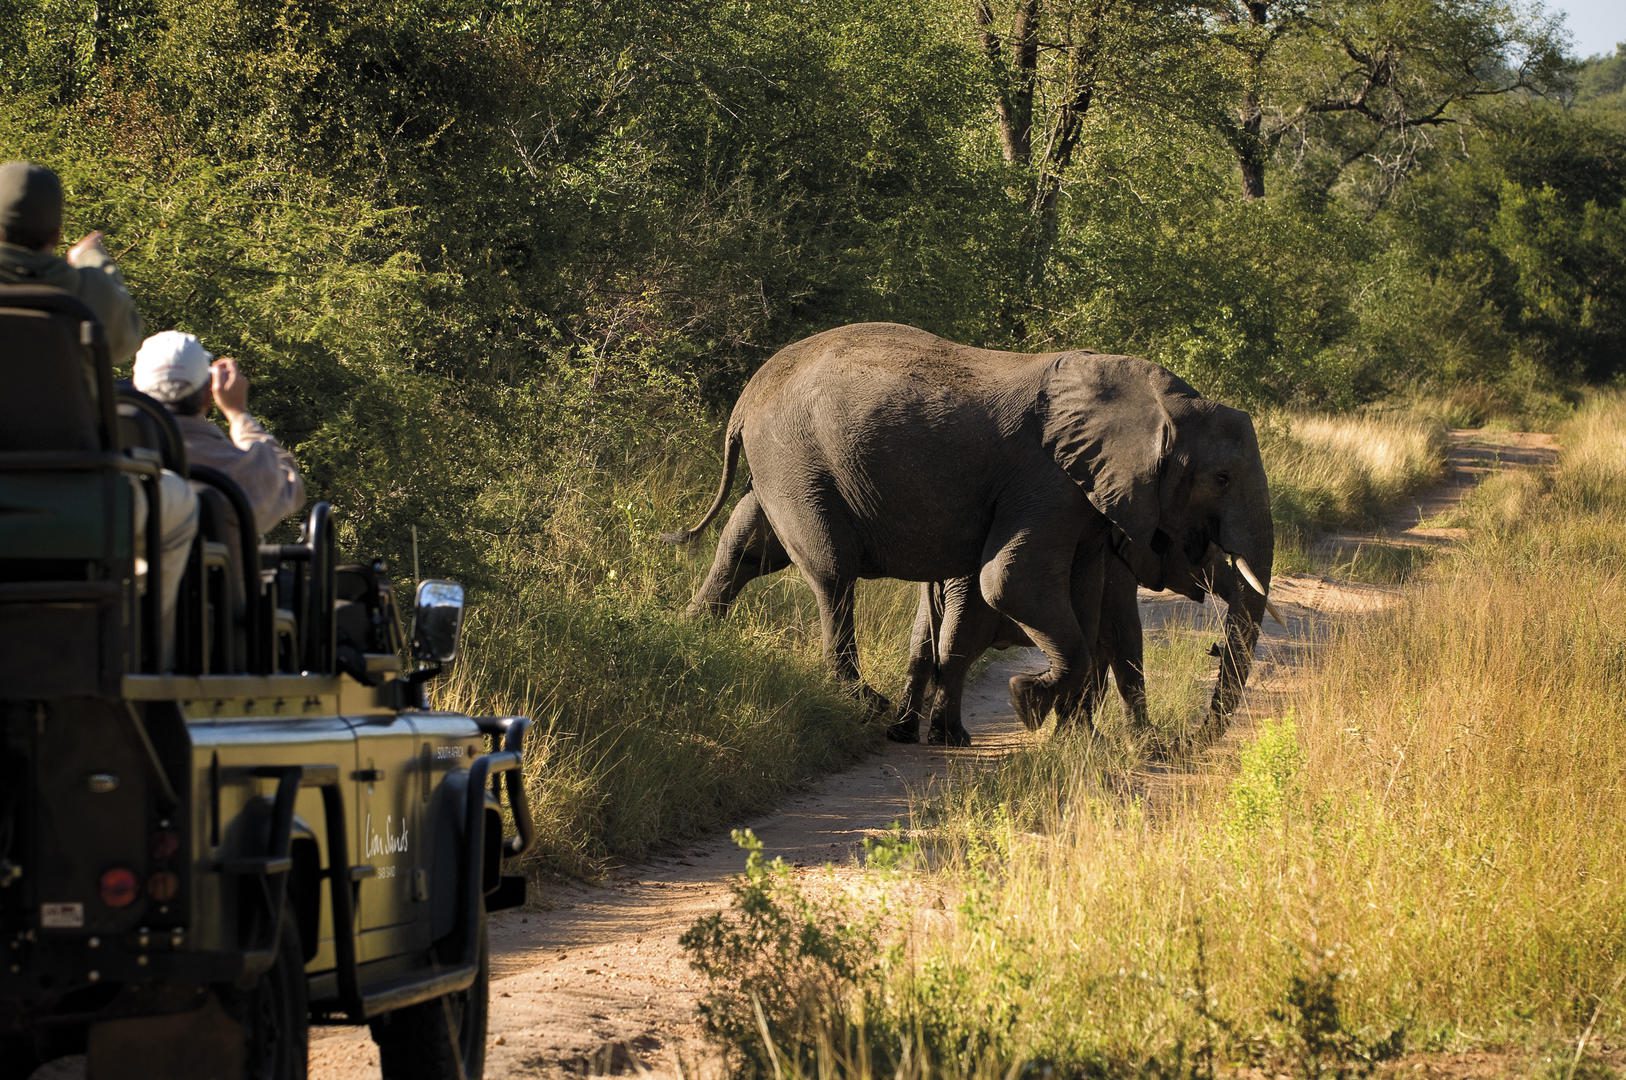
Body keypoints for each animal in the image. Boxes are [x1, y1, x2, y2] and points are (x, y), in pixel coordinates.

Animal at [666, 320, 1274, 725]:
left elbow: (1083, 595)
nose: (1192, 737)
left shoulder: (1083, 504)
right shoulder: (1048, 480)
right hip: (797, 458)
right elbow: (1010, 582)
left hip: (781, 465)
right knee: (832, 571)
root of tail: (747, 395)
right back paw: (865, 703)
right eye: (1221, 478)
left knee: (746, 544)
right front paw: (1028, 701)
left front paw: (1063, 724)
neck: (1154, 400)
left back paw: (689, 635)